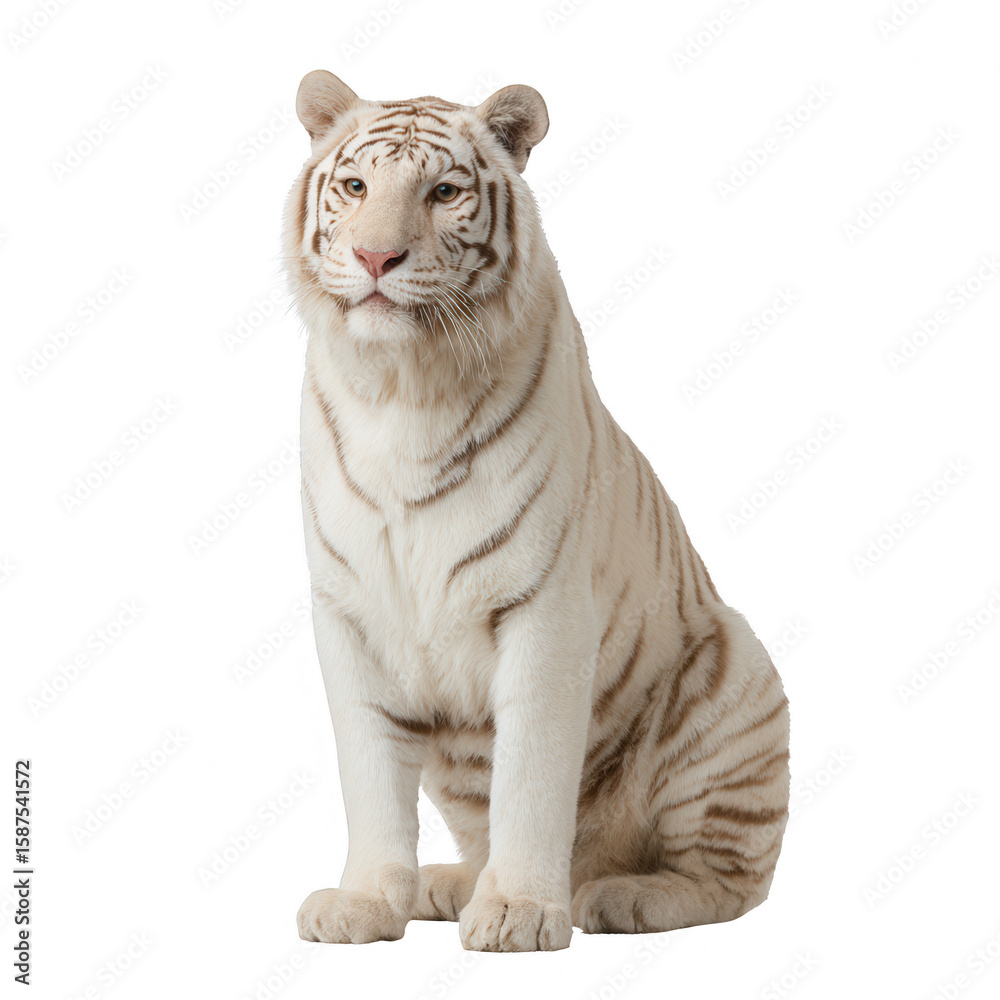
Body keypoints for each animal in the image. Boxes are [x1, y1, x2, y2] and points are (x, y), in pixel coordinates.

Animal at [283, 70, 790, 953]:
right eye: (355, 187)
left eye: (443, 192)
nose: (376, 256)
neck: (400, 386)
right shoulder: (347, 612)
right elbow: (370, 777)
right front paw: (367, 901)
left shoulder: (545, 609)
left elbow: (529, 776)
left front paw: (519, 911)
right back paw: (449, 884)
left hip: (737, 672)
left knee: (731, 882)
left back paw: (619, 895)